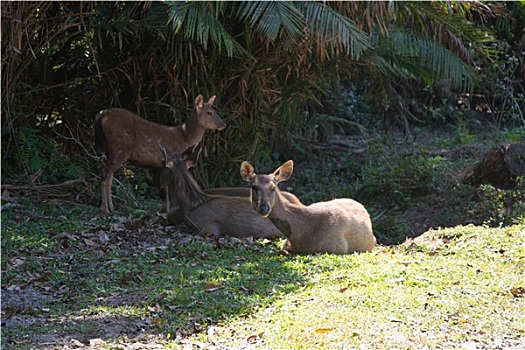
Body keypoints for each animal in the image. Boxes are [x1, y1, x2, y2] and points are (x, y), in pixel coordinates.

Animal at [94, 95, 225, 216]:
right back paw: (104, 209)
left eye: (215, 110)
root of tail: (102, 115)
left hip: (111, 151)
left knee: (109, 176)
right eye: (209, 112)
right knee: (105, 174)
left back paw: (111, 208)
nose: (223, 124)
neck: (185, 138)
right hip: (119, 148)